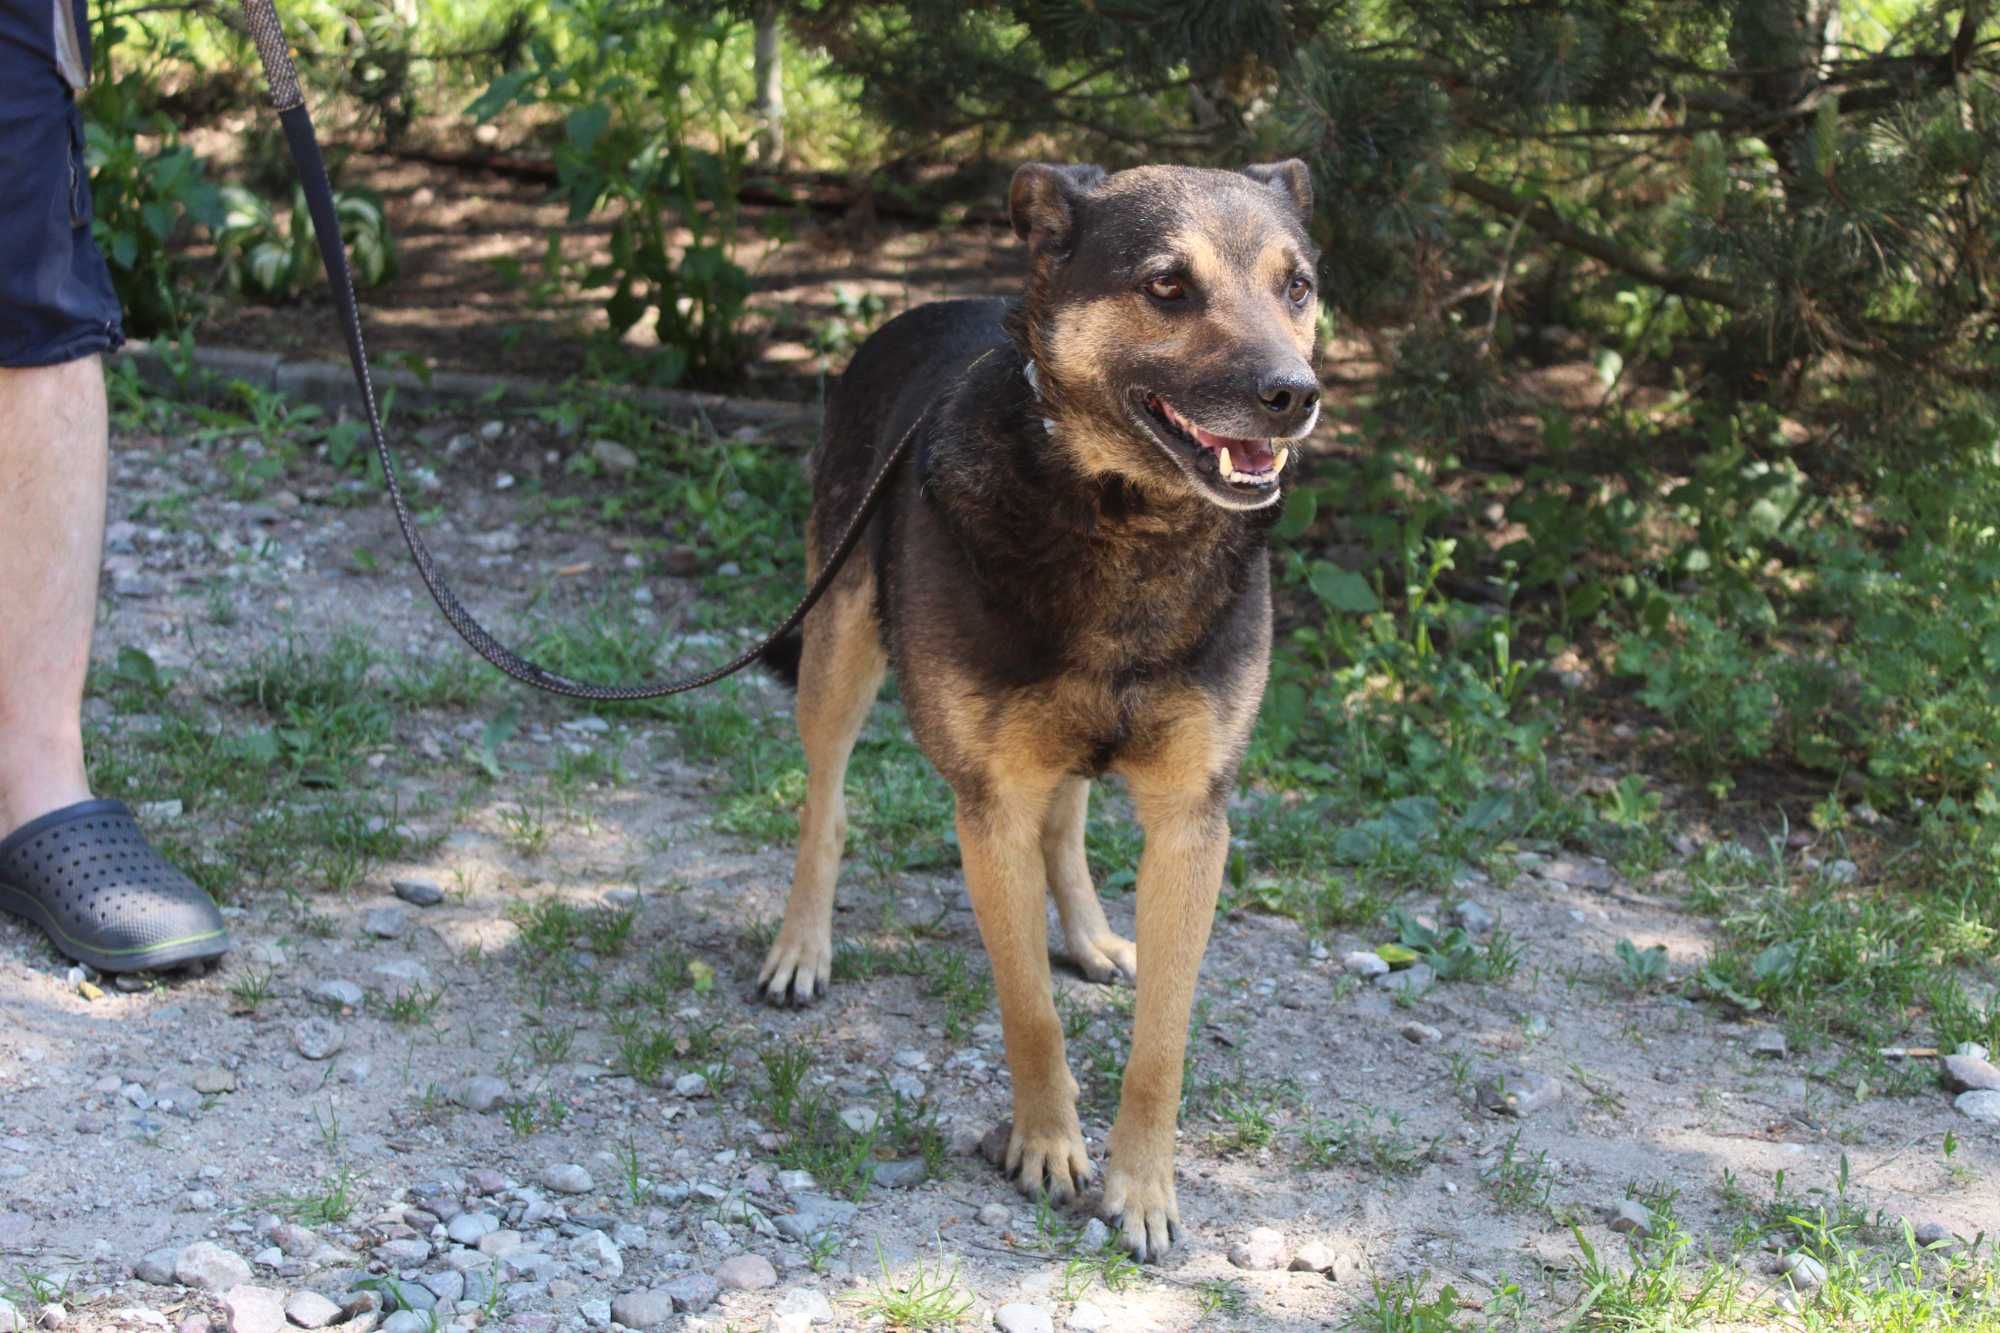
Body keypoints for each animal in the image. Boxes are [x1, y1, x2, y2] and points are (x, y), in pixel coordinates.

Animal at [756, 158, 1320, 1256]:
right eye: (1167, 286)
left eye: (1298, 287)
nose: (1294, 396)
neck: (1125, 516)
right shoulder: (991, 807)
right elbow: (1028, 1008)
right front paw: (1048, 1145)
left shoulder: (1192, 821)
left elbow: (1161, 1041)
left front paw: (1142, 1187)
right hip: (838, 649)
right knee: (824, 803)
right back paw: (802, 947)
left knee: (1069, 816)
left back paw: (1091, 934)